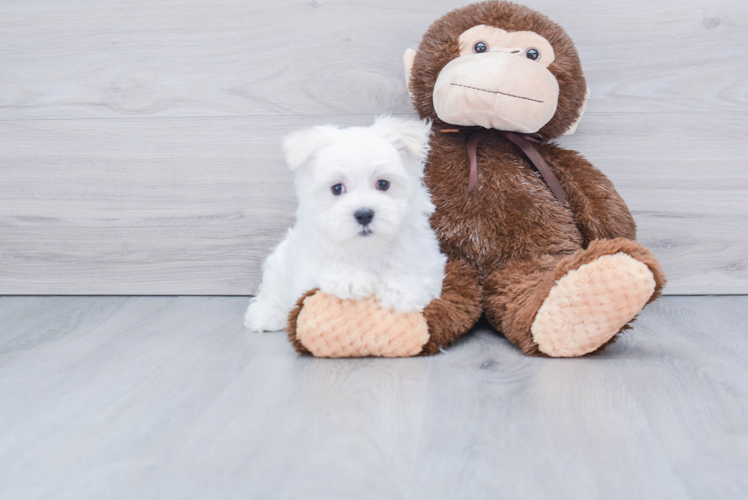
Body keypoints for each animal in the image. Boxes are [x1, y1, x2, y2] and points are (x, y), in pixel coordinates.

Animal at [244, 116, 444, 332]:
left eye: (383, 184)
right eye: (337, 188)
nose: (364, 214)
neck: (367, 248)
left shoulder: (425, 256)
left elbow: (414, 268)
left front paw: (400, 289)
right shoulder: (309, 264)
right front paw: (350, 278)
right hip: (279, 265)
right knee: (274, 292)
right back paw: (267, 314)